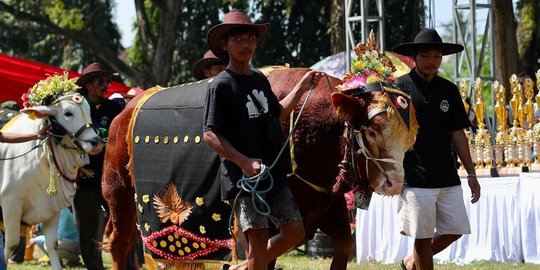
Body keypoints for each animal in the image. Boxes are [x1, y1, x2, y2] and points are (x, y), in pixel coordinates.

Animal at [0, 92, 102, 268]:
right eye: (68, 113)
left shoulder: (53, 207)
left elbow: (52, 244)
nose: (95, 142)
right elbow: (10, 244)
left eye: (89, 110)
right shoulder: (10, 204)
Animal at [102, 67, 418, 270]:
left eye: (408, 134)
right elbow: (262, 255)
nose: (394, 182)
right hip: (119, 195)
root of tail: (124, 111)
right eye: (372, 131)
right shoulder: (250, 219)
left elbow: (339, 244)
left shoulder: (327, 211)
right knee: (120, 242)